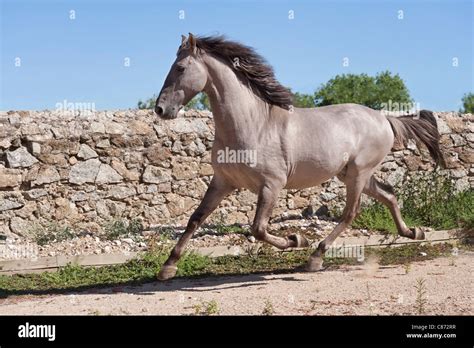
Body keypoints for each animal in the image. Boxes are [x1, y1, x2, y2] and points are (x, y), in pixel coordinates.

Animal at [153, 34, 444, 282]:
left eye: (180, 68)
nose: (160, 109)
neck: (253, 124)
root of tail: (384, 118)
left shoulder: (271, 185)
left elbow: (258, 228)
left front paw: (296, 240)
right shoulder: (222, 182)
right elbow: (195, 219)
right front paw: (168, 267)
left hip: (358, 174)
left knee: (351, 213)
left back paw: (315, 257)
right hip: (353, 174)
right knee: (389, 194)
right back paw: (413, 233)